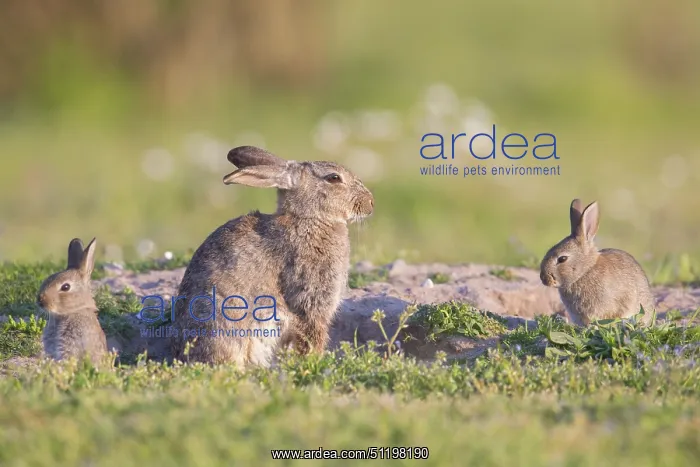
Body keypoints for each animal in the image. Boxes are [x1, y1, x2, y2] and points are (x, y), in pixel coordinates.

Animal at [170, 145, 374, 368]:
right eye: (334, 178)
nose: (371, 203)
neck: (309, 218)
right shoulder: (310, 299)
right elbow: (312, 335)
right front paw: (313, 361)